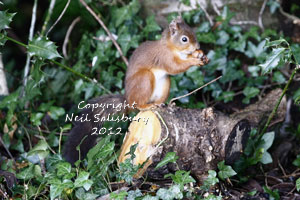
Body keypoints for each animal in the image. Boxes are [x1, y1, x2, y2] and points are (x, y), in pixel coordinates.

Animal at [63, 16, 209, 164]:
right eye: (184, 39)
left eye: (193, 32)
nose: (197, 46)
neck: (172, 48)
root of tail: (128, 101)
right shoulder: (164, 57)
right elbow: (175, 67)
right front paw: (194, 61)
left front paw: (200, 54)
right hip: (144, 79)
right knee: (138, 104)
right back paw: (147, 106)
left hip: (165, 84)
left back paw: (164, 104)